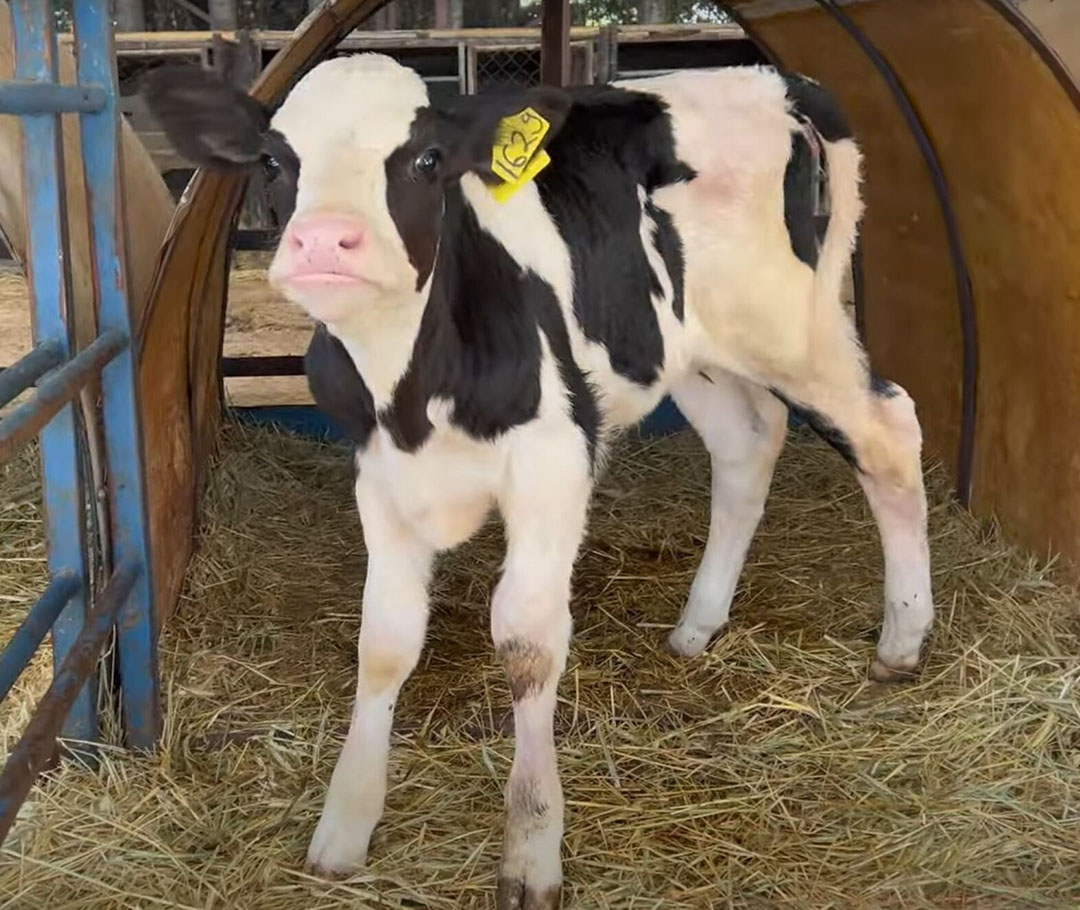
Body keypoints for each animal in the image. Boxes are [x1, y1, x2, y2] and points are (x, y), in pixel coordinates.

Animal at [145, 53, 937, 906]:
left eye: (426, 158)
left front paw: (530, 848)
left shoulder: (554, 458)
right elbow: (384, 642)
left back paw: (902, 639)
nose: (326, 239)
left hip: (793, 328)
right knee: (748, 444)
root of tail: (770, 75)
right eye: (273, 161)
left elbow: (526, 643)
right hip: (681, 346)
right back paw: (698, 624)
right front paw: (345, 824)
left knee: (890, 432)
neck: (411, 390)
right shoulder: (378, 474)